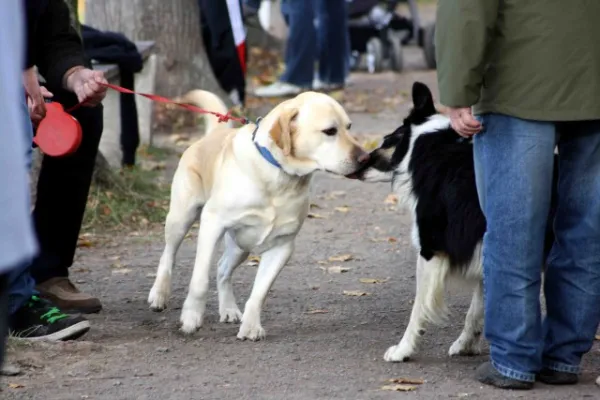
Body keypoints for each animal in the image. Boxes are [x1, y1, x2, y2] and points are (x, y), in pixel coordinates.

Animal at [354, 81, 556, 362]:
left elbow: (418, 308)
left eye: (386, 141)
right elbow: (477, 308)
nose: (358, 164)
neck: (424, 144)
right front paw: (465, 344)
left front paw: (403, 349)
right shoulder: (485, 246)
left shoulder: (431, 249)